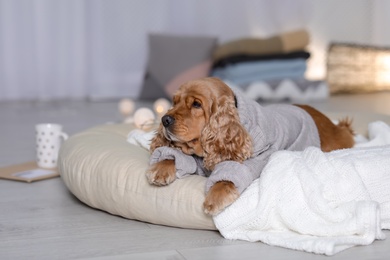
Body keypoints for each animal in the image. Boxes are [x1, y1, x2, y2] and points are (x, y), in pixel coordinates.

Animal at [145, 76, 354, 215]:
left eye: (196, 104)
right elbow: (177, 158)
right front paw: (161, 168)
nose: (165, 119)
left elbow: (226, 179)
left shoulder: (249, 161)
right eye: (174, 101)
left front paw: (214, 198)